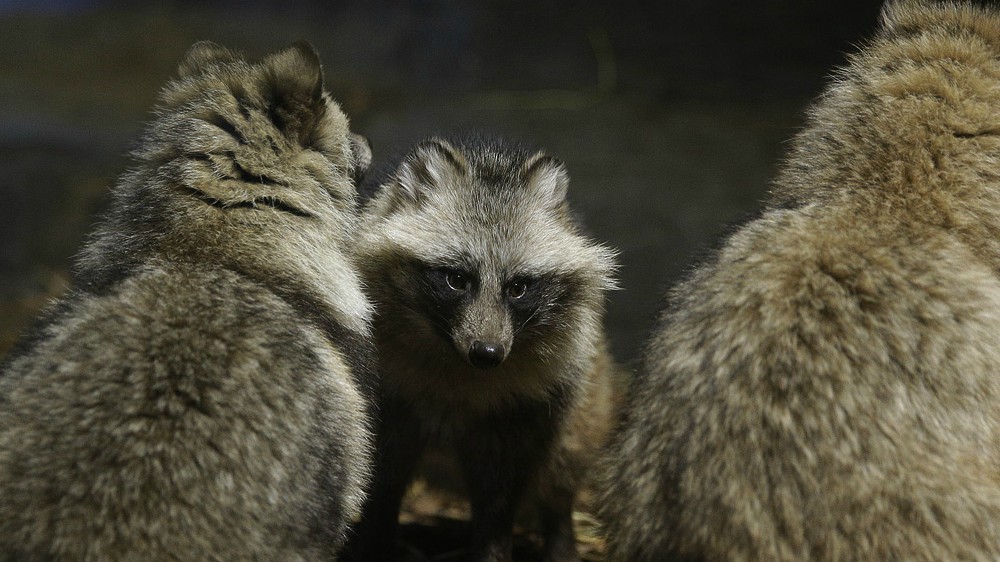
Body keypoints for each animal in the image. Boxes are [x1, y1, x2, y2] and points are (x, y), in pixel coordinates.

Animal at [350, 136, 616, 560]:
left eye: (518, 287)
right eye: (457, 279)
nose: (487, 354)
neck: (457, 364)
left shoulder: (524, 411)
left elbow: (499, 501)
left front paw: (492, 547)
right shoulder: (390, 402)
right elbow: (383, 483)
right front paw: (374, 542)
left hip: (584, 403)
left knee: (559, 476)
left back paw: (560, 536)